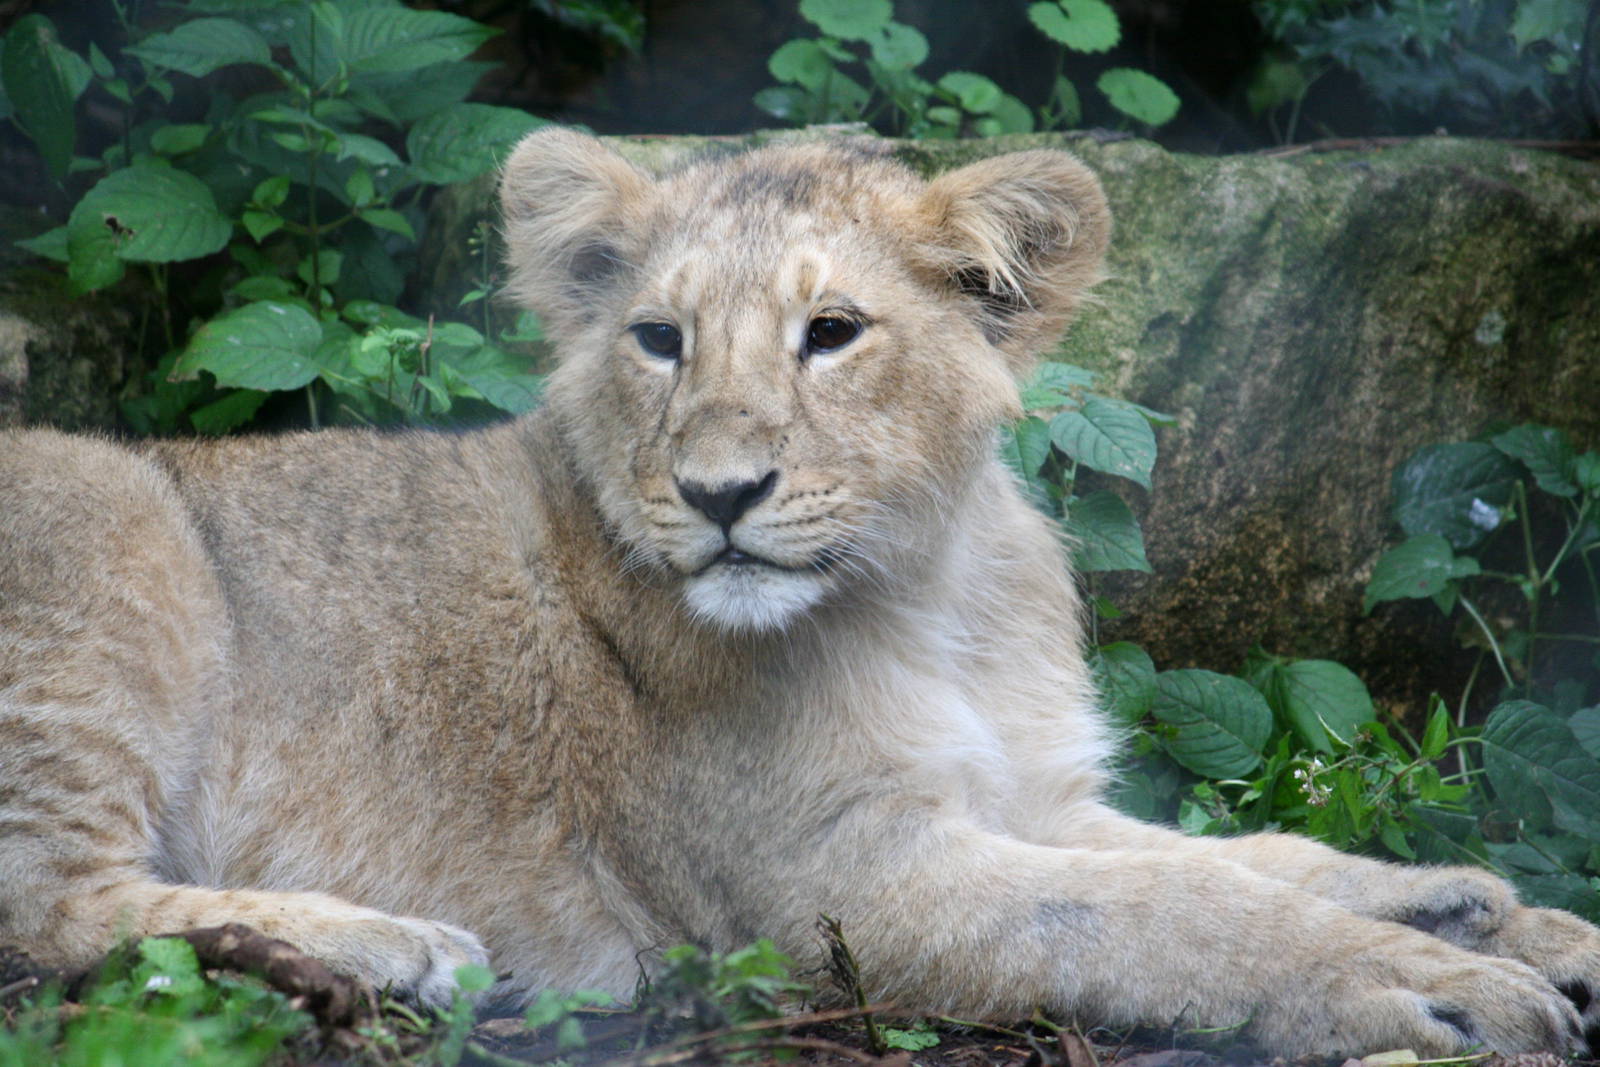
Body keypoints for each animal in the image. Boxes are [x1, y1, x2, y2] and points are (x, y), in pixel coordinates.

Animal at [1, 128, 1597, 1057]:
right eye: (658, 338)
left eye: (832, 332)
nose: (719, 493)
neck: (930, 591)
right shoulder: (839, 888)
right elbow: (1164, 912)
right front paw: (1434, 983)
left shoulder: (1033, 794)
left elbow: (1235, 856)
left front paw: (1491, 913)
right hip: (116, 517)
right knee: (50, 910)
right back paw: (396, 947)